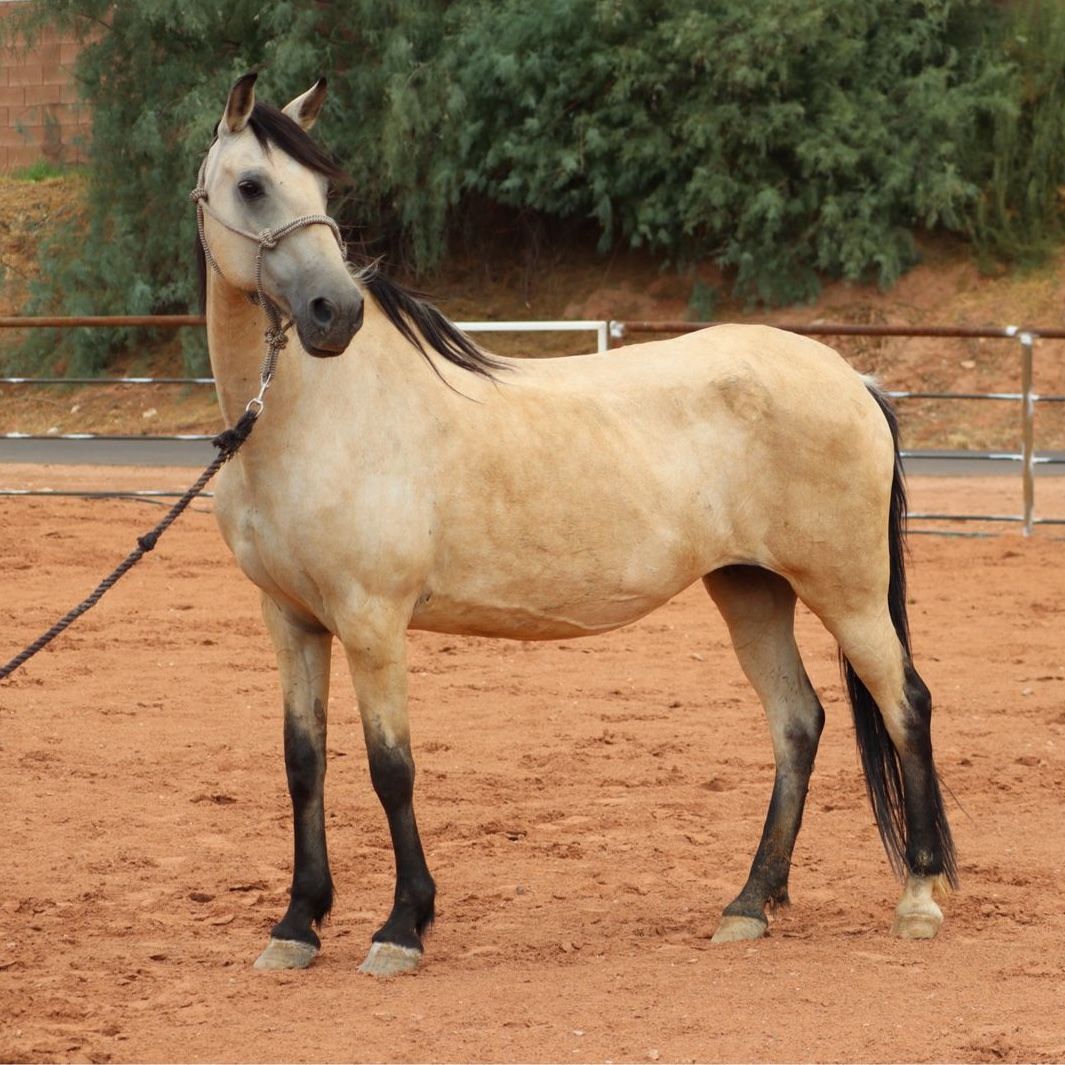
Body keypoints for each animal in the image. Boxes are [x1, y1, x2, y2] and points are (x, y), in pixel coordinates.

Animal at [193, 73, 957, 976]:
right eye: (251, 185)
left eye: (321, 189)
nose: (333, 312)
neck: (316, 420)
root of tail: (853, 378)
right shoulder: (291, 619)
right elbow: (303, 763)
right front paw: (297, 923)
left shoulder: (371, 622)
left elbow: (391, 769)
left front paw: (401, 927)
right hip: (751, 589)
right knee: (797, 722)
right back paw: (748, 904)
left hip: (847, 590)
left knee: (904, 703)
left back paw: (916, 896)